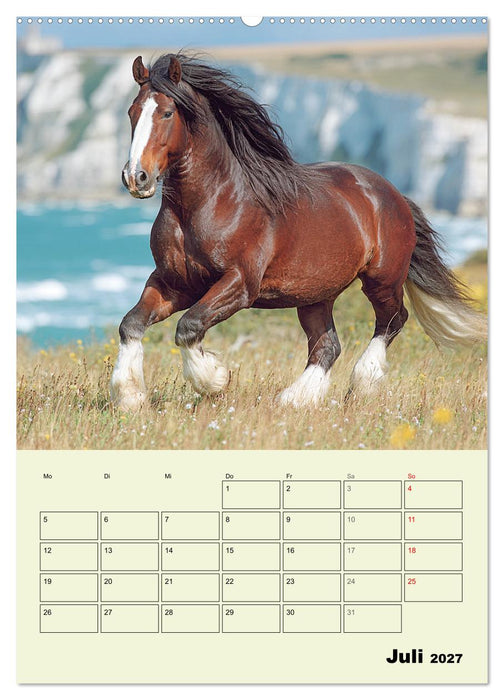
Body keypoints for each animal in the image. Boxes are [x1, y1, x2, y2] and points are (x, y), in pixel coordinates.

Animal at [110, 53, 487, 411]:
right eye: (132, 111)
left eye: (167, 113)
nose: (136, 177)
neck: (210, 203)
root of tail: (394, 194)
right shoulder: (173, 283)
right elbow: (131, 324)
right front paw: (130, 397)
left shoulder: (239, 284)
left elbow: (188, 326)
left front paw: (215, 379)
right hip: (316, 294)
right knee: (327, 345)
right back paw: (296, 398)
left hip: (382, 279)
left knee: (393, 320)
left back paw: (361, 385)